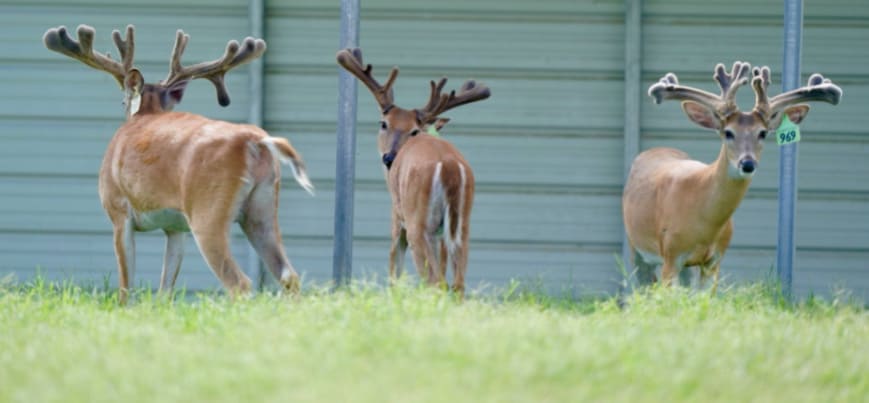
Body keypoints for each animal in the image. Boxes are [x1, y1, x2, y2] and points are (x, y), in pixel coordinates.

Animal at [43, 24, 315, 303]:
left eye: (122, 101)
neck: (146, 113)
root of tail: (256, 141)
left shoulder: (118, 209)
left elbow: (125, 287)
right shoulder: (175, 226)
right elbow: (166, 289)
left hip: (208, 210)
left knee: (239, 283)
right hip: (262, 208)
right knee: (288, 275)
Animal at [336, 48, 490, 296]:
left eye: (414, 130)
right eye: (385, 123)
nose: (388, 158)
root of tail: (449, 167)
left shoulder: (397, 216)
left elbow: (394, 271)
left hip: (417, 219)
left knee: (435, 281)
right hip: (461, 224)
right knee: (457, 283)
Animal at [622, 61, 842, 292]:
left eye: (762, 133)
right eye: (728, 132)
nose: (747, 163)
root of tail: (655, 149)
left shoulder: (714, 260)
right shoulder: (671, 254)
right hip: (636, 244)